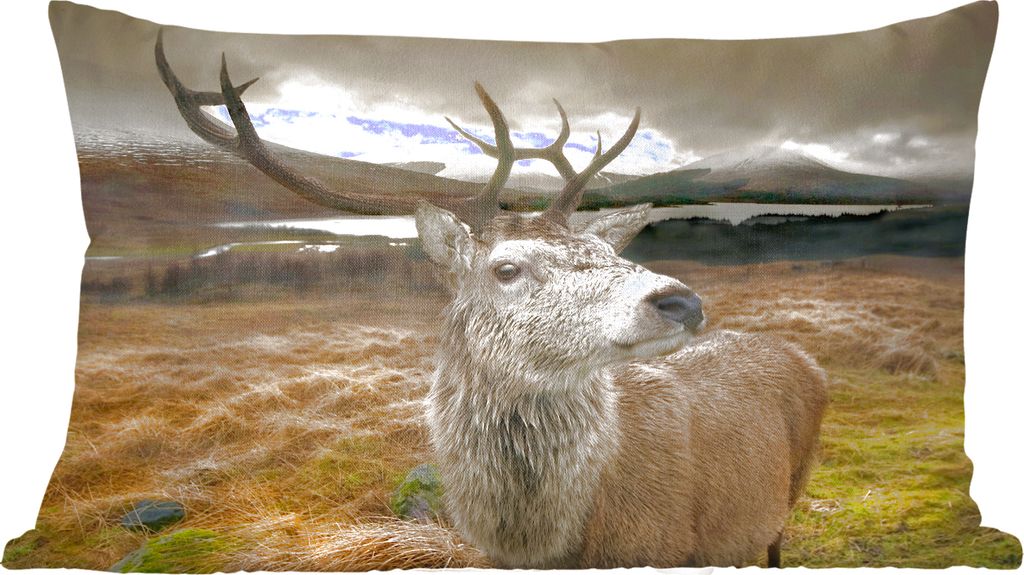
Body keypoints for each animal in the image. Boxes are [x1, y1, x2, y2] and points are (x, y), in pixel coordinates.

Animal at [155, 30, 828, 569]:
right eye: (507, 268)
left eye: (606, 251)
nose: (680, 301)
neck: (550, 544)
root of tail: (806, 360)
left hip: (789, 489)